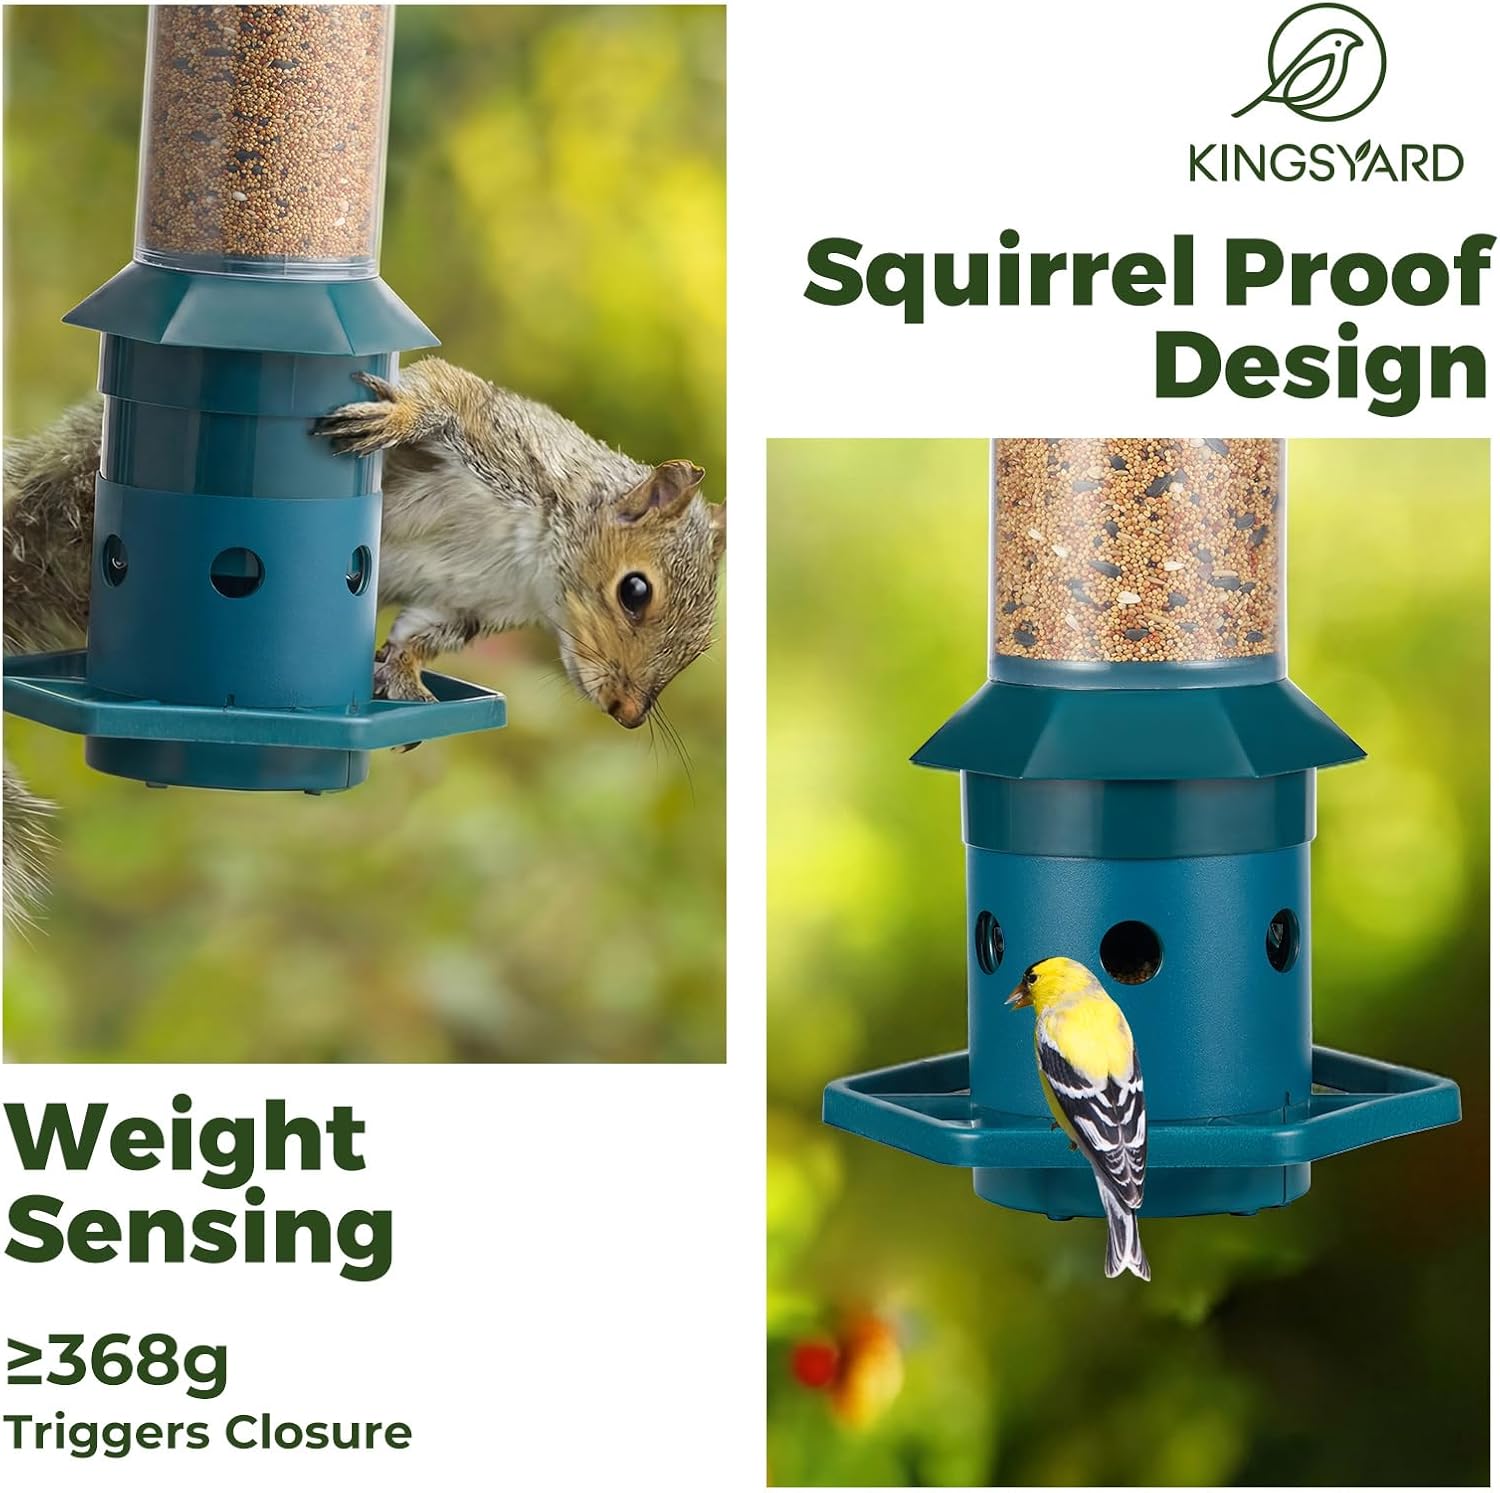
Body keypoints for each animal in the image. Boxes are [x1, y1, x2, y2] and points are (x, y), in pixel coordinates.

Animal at [3, 357, 726, 921]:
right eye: (635, 592)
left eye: (698, 648)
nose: (628, 713)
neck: (535, 566)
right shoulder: (506, 444)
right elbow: (447, 393)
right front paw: (399, 416)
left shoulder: (471, 603)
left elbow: (420, 634)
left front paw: (402, 678)